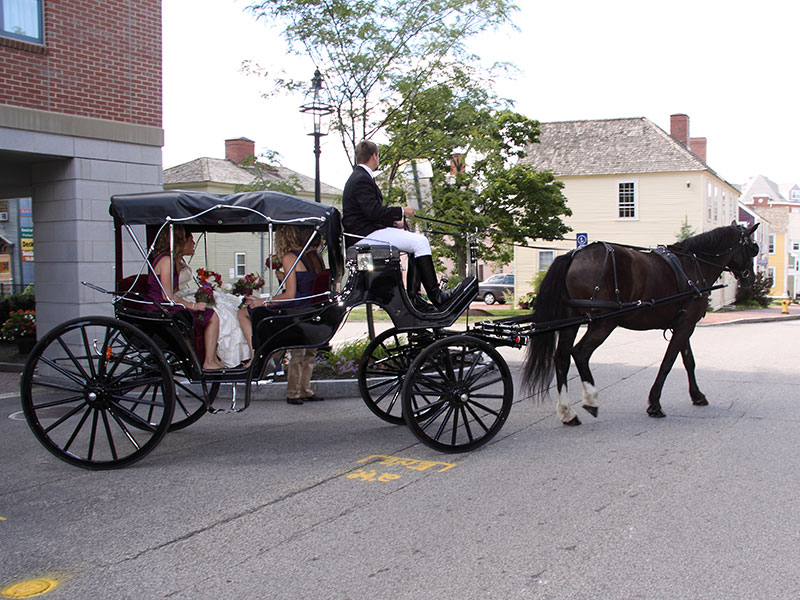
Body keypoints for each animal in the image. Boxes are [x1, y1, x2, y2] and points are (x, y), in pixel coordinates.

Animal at [520, 223, 760, 424]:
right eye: (753, 249)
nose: (750, 279)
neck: (693, 265)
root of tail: (574, 255)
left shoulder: (682, 323)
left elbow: (688, 361)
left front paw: (697, 396)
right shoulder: (686, 325)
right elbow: (668, 363)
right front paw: (654, 404)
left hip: (571, 321)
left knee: (561, 358)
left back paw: (568, 413)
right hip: (604, 322)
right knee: (580, 353)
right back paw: (591, 400)